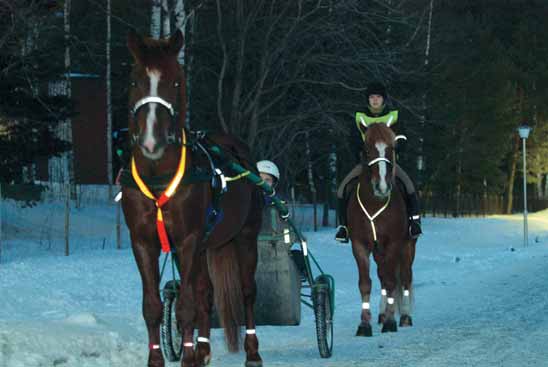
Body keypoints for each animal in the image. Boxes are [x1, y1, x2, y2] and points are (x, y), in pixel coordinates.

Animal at [120, 30, 266, 367]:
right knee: (205, 292)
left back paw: (252, 352)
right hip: (205, 246)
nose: (151, 141)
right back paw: (202, 349)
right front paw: (161, 359)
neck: (157, 176)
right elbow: (153, 306)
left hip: (245, 235)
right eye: (135, 81)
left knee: (246, 291)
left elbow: (185, 305)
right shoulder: (143, 241)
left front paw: (187, 359)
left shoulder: (188, 239)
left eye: (175, 82)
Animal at [346, 122, 416, 338]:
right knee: (383, 277)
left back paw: (404, 316)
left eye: (392, 148)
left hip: (407, 247)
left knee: (405, 278)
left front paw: (391, 322)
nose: (382, 187)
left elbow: (393, 282)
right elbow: (365, 283)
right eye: (367, 148)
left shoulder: (393, 244)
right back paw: (382, 314)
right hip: (379, 252)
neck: (374, 203)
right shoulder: (359, 245)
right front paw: (364, 324)